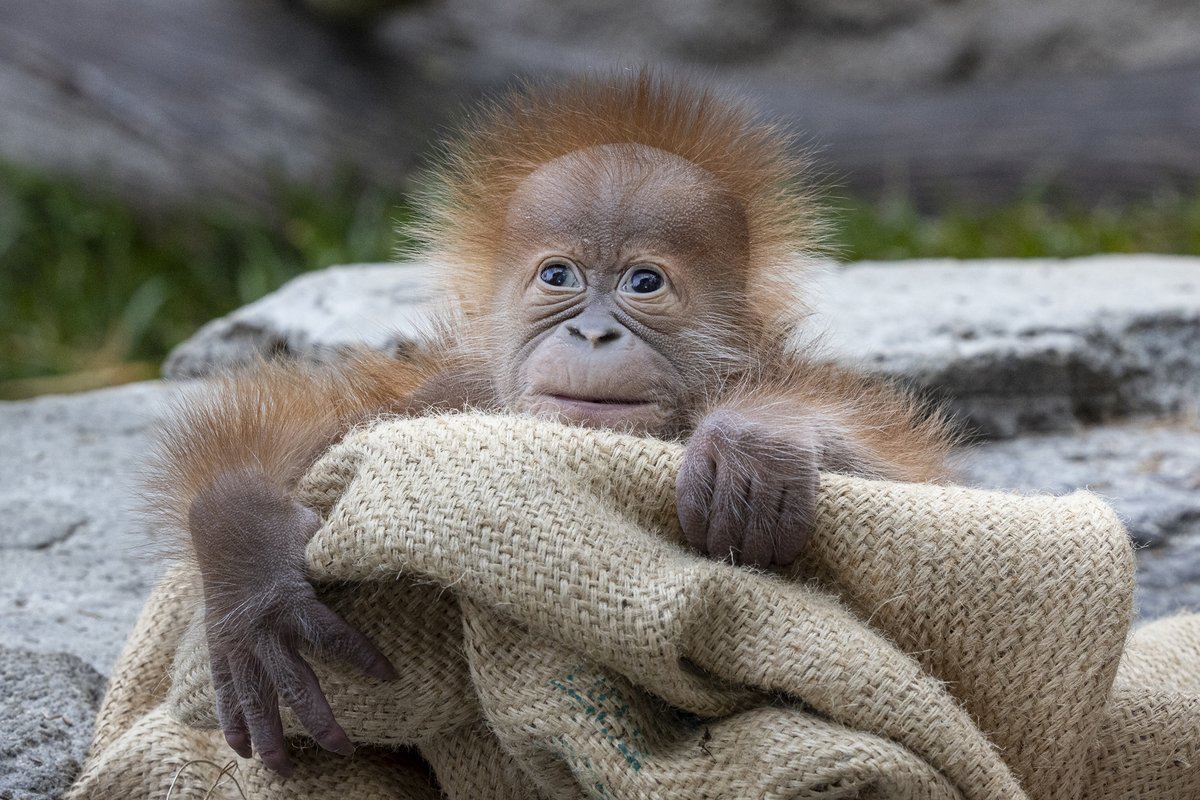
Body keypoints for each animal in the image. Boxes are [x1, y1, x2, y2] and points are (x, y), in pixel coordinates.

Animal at [151, 70, 955, 777]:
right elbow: (311, 435)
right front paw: (251, 569)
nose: (594, 333)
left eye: (643, 282)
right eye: (559, 276)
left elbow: (912, 488)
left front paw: (753, 439)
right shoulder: (448, 389)